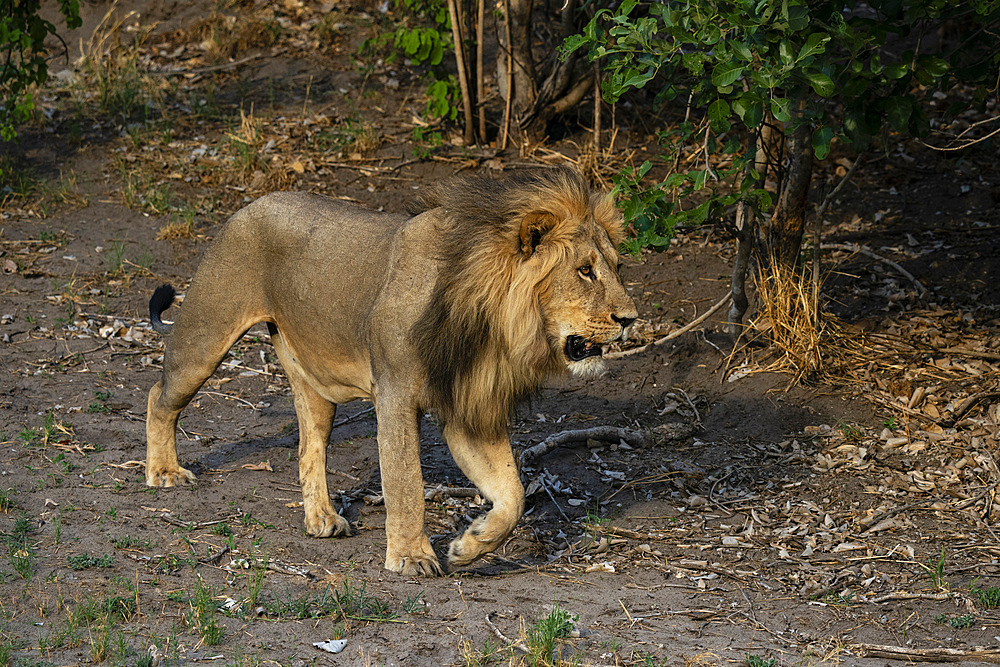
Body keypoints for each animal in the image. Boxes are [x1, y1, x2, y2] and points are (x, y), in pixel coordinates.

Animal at [145, 166, 636, 576]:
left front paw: (469, 545)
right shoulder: (395, 396)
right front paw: (412, 557)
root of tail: (250, 204)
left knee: (309, 448)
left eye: (616, 267)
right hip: (205, 337)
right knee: (158, 395)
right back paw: (164, 472)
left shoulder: (465, 409)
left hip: (316, 384)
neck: (489, 323)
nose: (631, 318)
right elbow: (406, 482)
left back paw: (323, 519)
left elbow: (513, 495)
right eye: (584, 271)